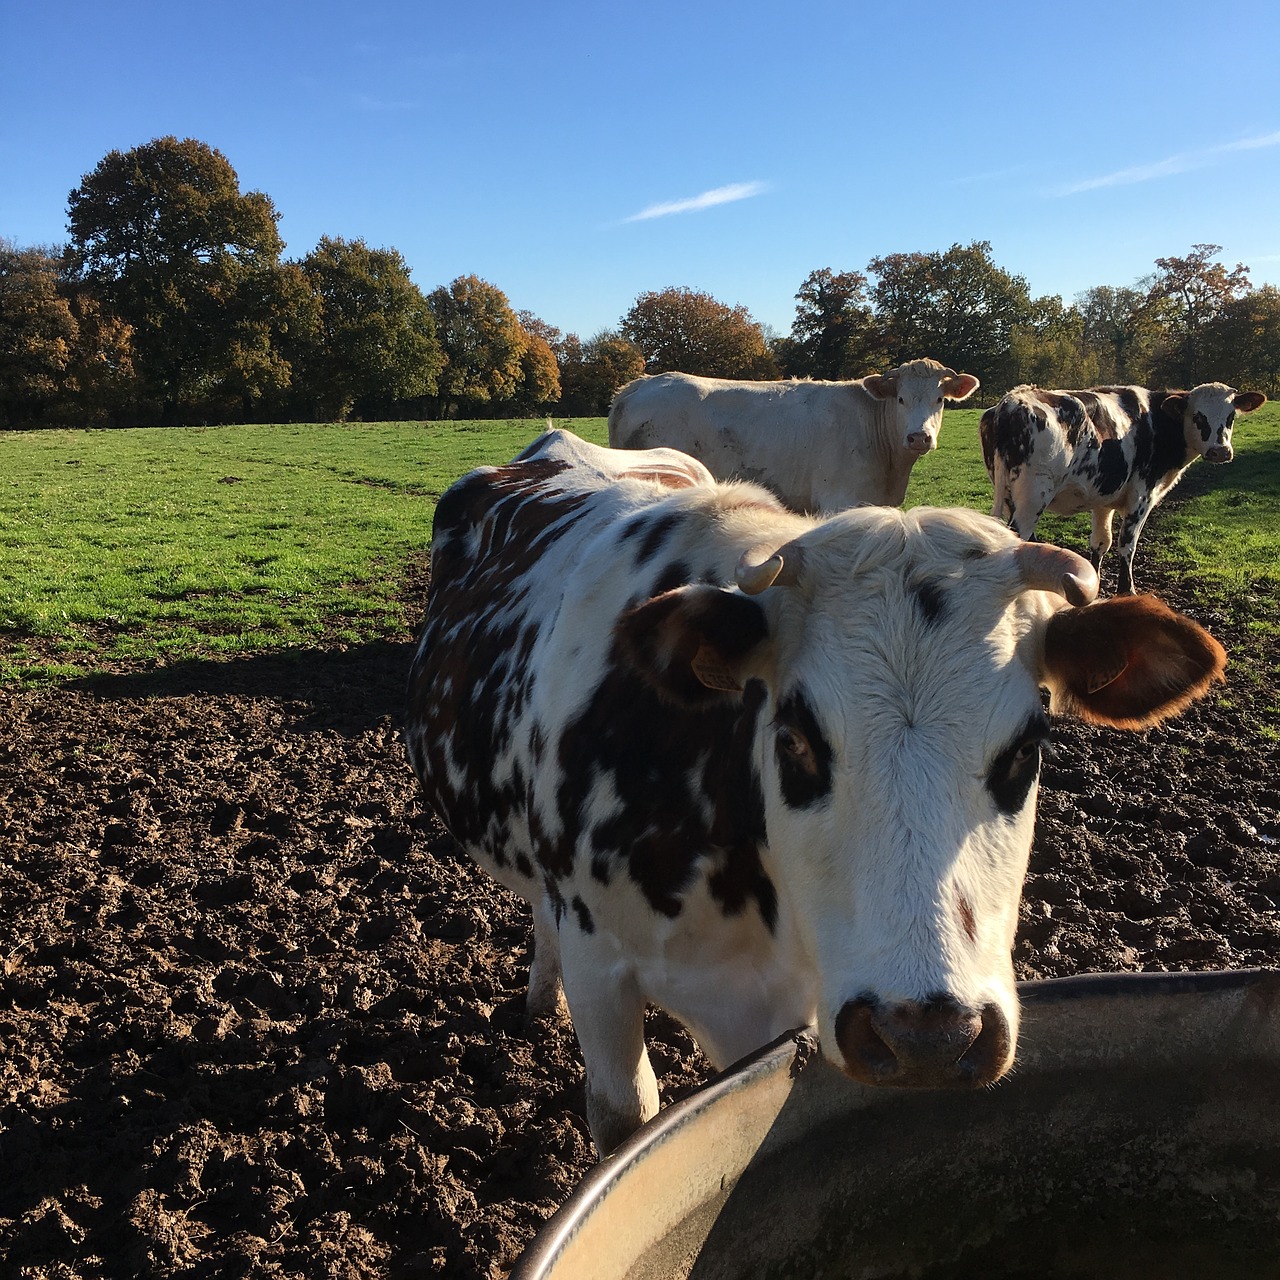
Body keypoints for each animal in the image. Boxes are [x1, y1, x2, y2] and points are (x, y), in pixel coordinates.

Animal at [977, 384, 1269, 593]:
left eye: (1231, 416)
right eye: (1198, 416)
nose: (1220, 451)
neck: (1157, 422)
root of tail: (1011, 400)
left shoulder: (1103, 500)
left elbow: (1100, 543)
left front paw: (1093, 585)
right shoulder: (1142, 496)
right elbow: (1127, 545)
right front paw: (1126, 590)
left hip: (1010, 495)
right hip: (1033, 496)